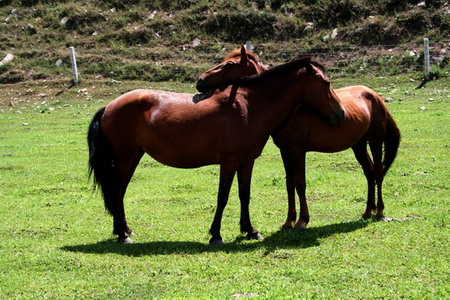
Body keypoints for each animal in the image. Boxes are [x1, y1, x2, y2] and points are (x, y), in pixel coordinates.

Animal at [87, 45, 344, 245]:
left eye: (229, 64)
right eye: (326, 83)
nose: (340, 113)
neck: (248, 106)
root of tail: (109, 107)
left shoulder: (247, 162)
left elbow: (244, 195)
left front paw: (250, 230)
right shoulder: (229, 162)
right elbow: (223, 196)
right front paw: (216, 235)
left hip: (132, 157)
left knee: (118, 192)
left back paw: (124, 230)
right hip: (124, 158)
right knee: (116, 191)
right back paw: (123, 235)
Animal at [197, 47, 400, 230]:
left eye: (229, 64)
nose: (200, 81)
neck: (291, 112)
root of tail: (374, 96)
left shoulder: (298, 151)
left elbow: (300, 184)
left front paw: (302, 221)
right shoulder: (285, 150)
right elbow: (290, 184)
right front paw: (289, 221)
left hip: (375, 140)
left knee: (378, 171)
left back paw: (379, 211)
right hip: (358, 145)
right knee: (369, 172)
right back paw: (368, 211)